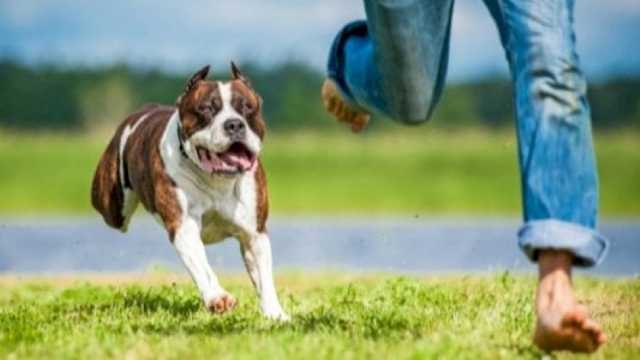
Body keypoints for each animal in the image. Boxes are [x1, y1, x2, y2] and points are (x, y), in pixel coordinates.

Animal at [90, 63, 288, 320]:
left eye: (247, 107)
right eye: (206, 109)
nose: (234, 124)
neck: (217, 179)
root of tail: (144, 110)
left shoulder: (254, 234)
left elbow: (265, 279)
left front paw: (275, 314)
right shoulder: (184, 227)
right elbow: (203, 268)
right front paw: (218, 298)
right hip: (113, 208)